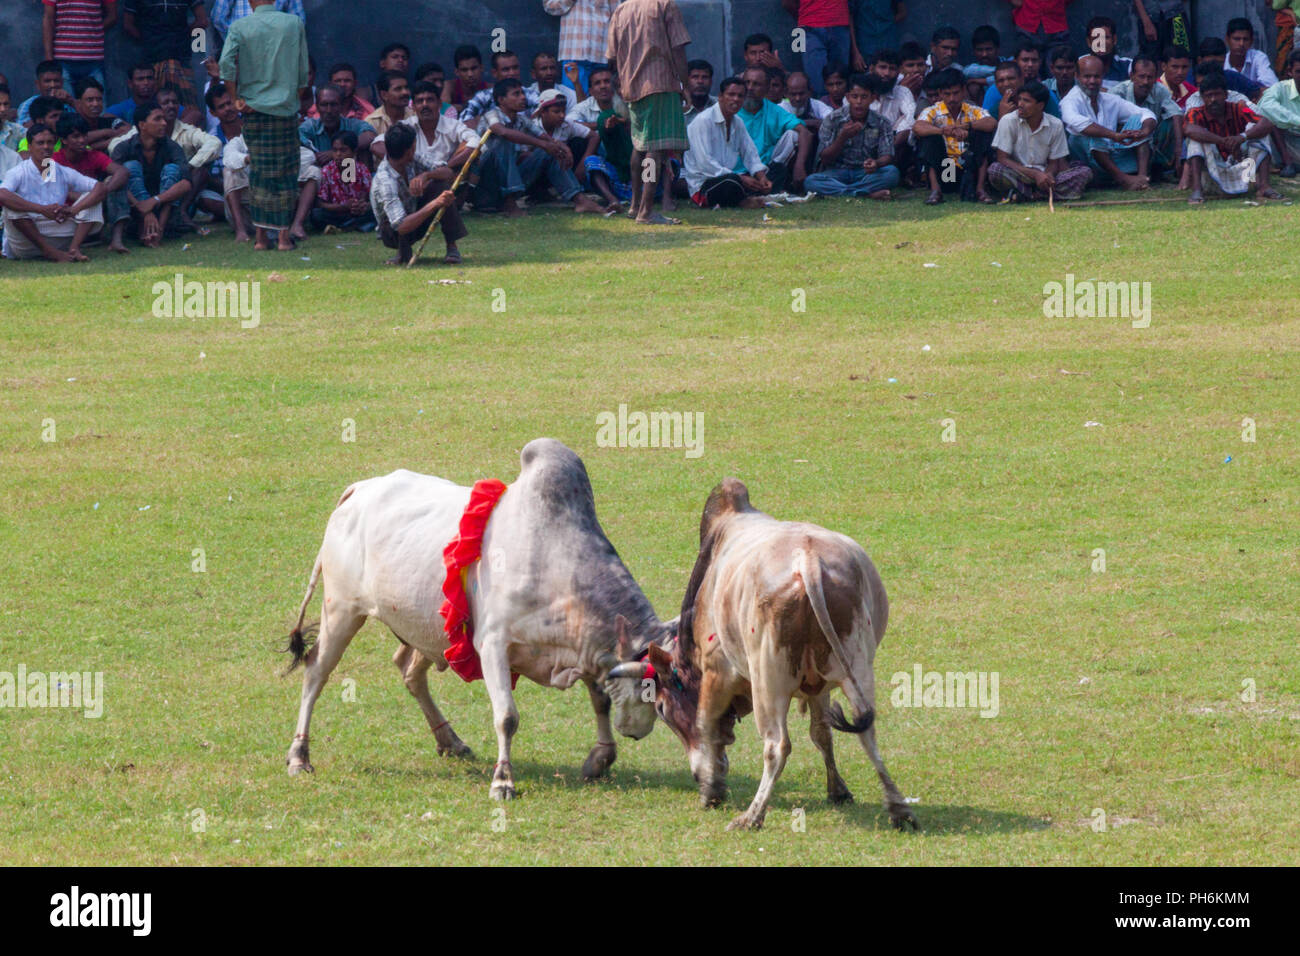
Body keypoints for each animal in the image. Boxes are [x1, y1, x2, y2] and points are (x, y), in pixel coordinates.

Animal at [280, 437, 676, 796]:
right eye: (656, 695)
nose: (637, 732)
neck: (556, 561)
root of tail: (359, 490)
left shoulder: (586, 648)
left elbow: (600, 698)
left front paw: (600, 758)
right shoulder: (493, 644)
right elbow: (507, 717)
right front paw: (503, 781)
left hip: (430, 628)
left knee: (409, 670)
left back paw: (449, 740)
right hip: (341, 610)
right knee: (316, 671)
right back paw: (299, 755)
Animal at [613, 478, 920, 832]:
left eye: (662, 709)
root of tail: (808, 559)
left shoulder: (717, 672)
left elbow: (706, 727)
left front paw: (711, 789)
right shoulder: (817, 687)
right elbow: (822, 733)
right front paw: (838, 790)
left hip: (767, 680)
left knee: (777, 745)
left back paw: (752, 815)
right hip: (856, 666)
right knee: (866, 730)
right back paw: (899, 808)